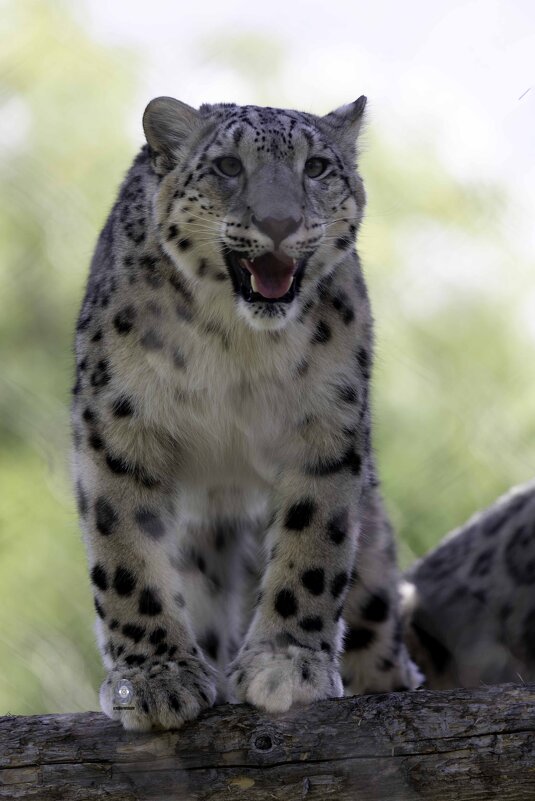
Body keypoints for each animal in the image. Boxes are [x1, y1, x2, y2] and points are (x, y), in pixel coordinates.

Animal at [72, 95, 422, 731]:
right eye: (229, 166)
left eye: (317, 168)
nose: (280, 223)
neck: (236, 343)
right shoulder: (118, 426)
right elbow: (126, 552)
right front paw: (155, 678)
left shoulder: (326, 423)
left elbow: (314, 543)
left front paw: (286, 667)